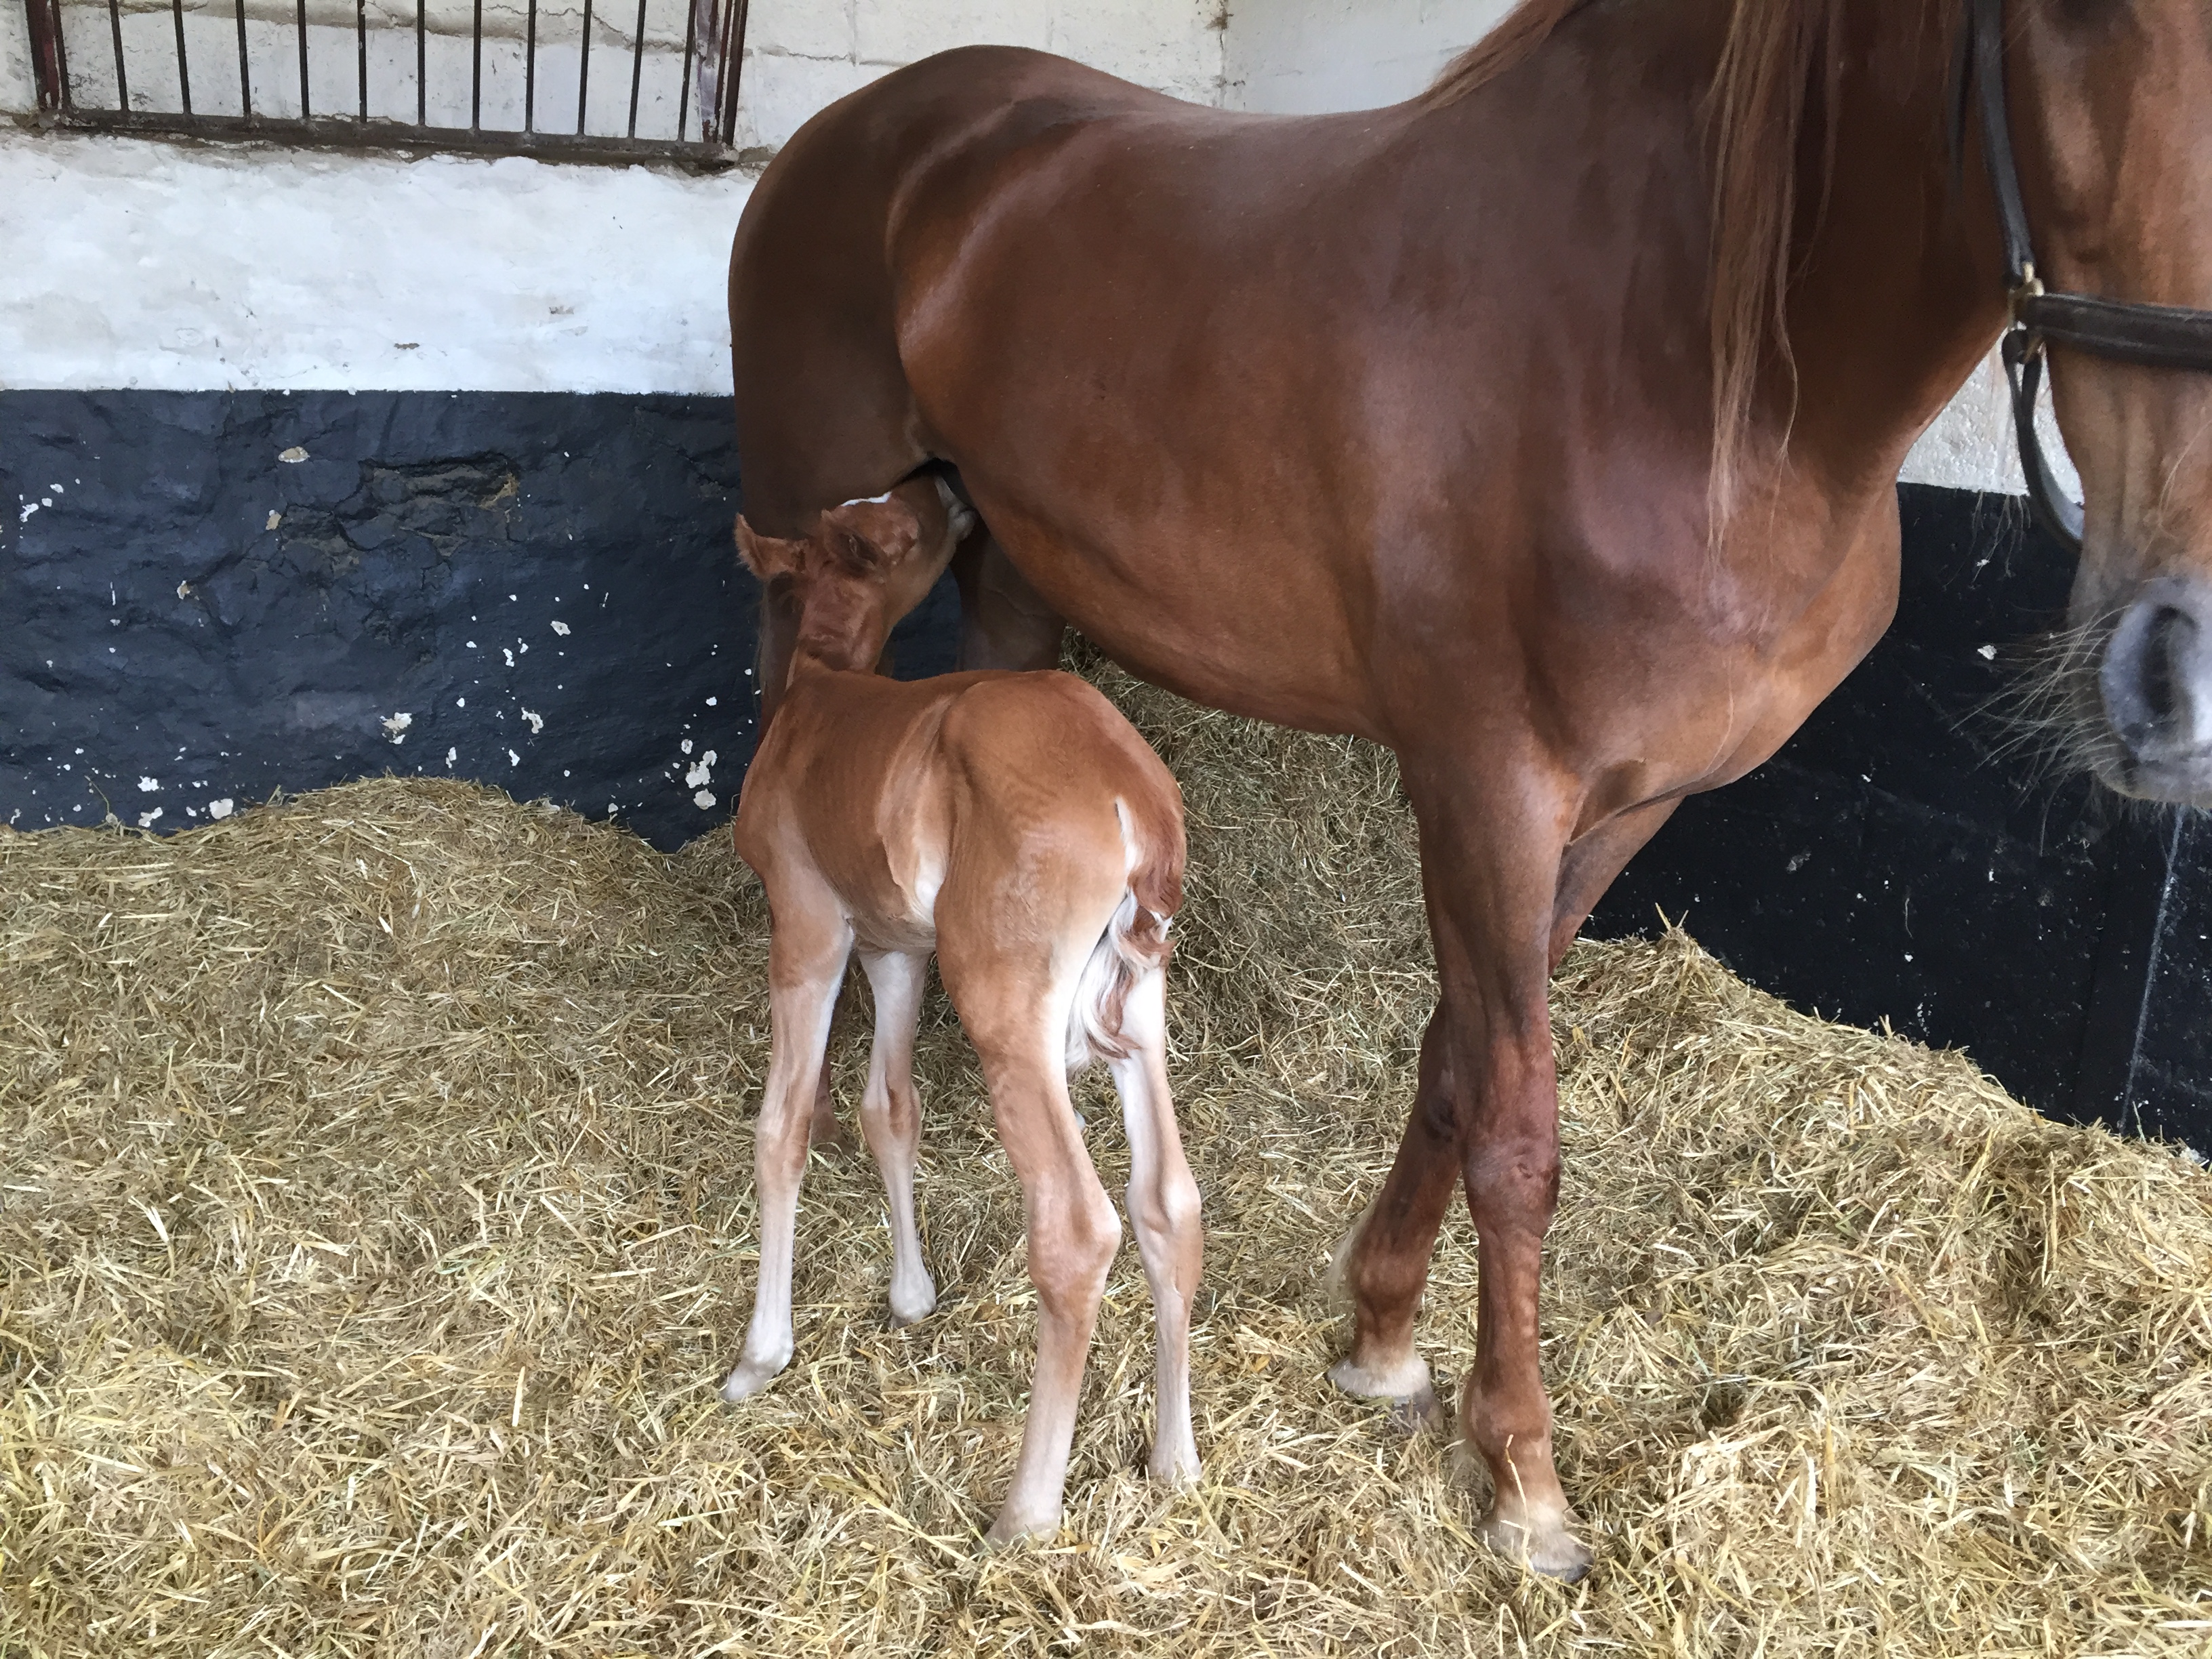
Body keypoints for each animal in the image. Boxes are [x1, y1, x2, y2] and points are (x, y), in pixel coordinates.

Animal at [721, 478, 1202, 1544]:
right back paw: (1176, 1462)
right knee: (1170, 1203)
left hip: (1005, 1002)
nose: (944, 481)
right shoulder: (898, 947)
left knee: (1077, 1227)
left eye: (888, 531)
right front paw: (911, 1297)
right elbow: (887, 1110)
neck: (821, 694)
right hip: (1139, 1011)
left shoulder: (808, 923)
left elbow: (784, 1125)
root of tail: (1130, 794)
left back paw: (1026, 1512)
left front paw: (760, 1355)